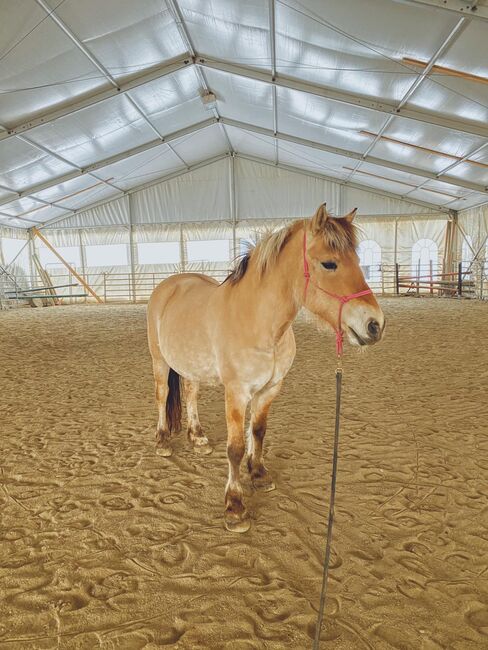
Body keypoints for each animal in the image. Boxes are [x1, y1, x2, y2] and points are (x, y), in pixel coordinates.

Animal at [146, 204, 386, 532]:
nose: (375, 325)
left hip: (191, 367)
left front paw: (258, 474)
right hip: (160, 361)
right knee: (161, 397)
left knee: (191, 395)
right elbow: (235, 447)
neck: (257, 321)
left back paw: (198, 438)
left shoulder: (270, 389)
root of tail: (168, 286)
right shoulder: (236, 393)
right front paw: (234, 506)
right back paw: (162, 442)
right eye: (329, 263)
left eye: (359, 261)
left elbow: (258, 432)